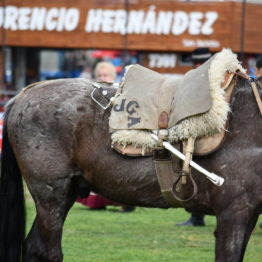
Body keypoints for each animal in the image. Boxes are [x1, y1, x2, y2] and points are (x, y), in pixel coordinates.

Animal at [0, 76, 260, 262]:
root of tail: (22, 95)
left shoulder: (248, 215)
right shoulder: (233, 214)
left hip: (66, 194)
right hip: (51, 195)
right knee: (49, 252)